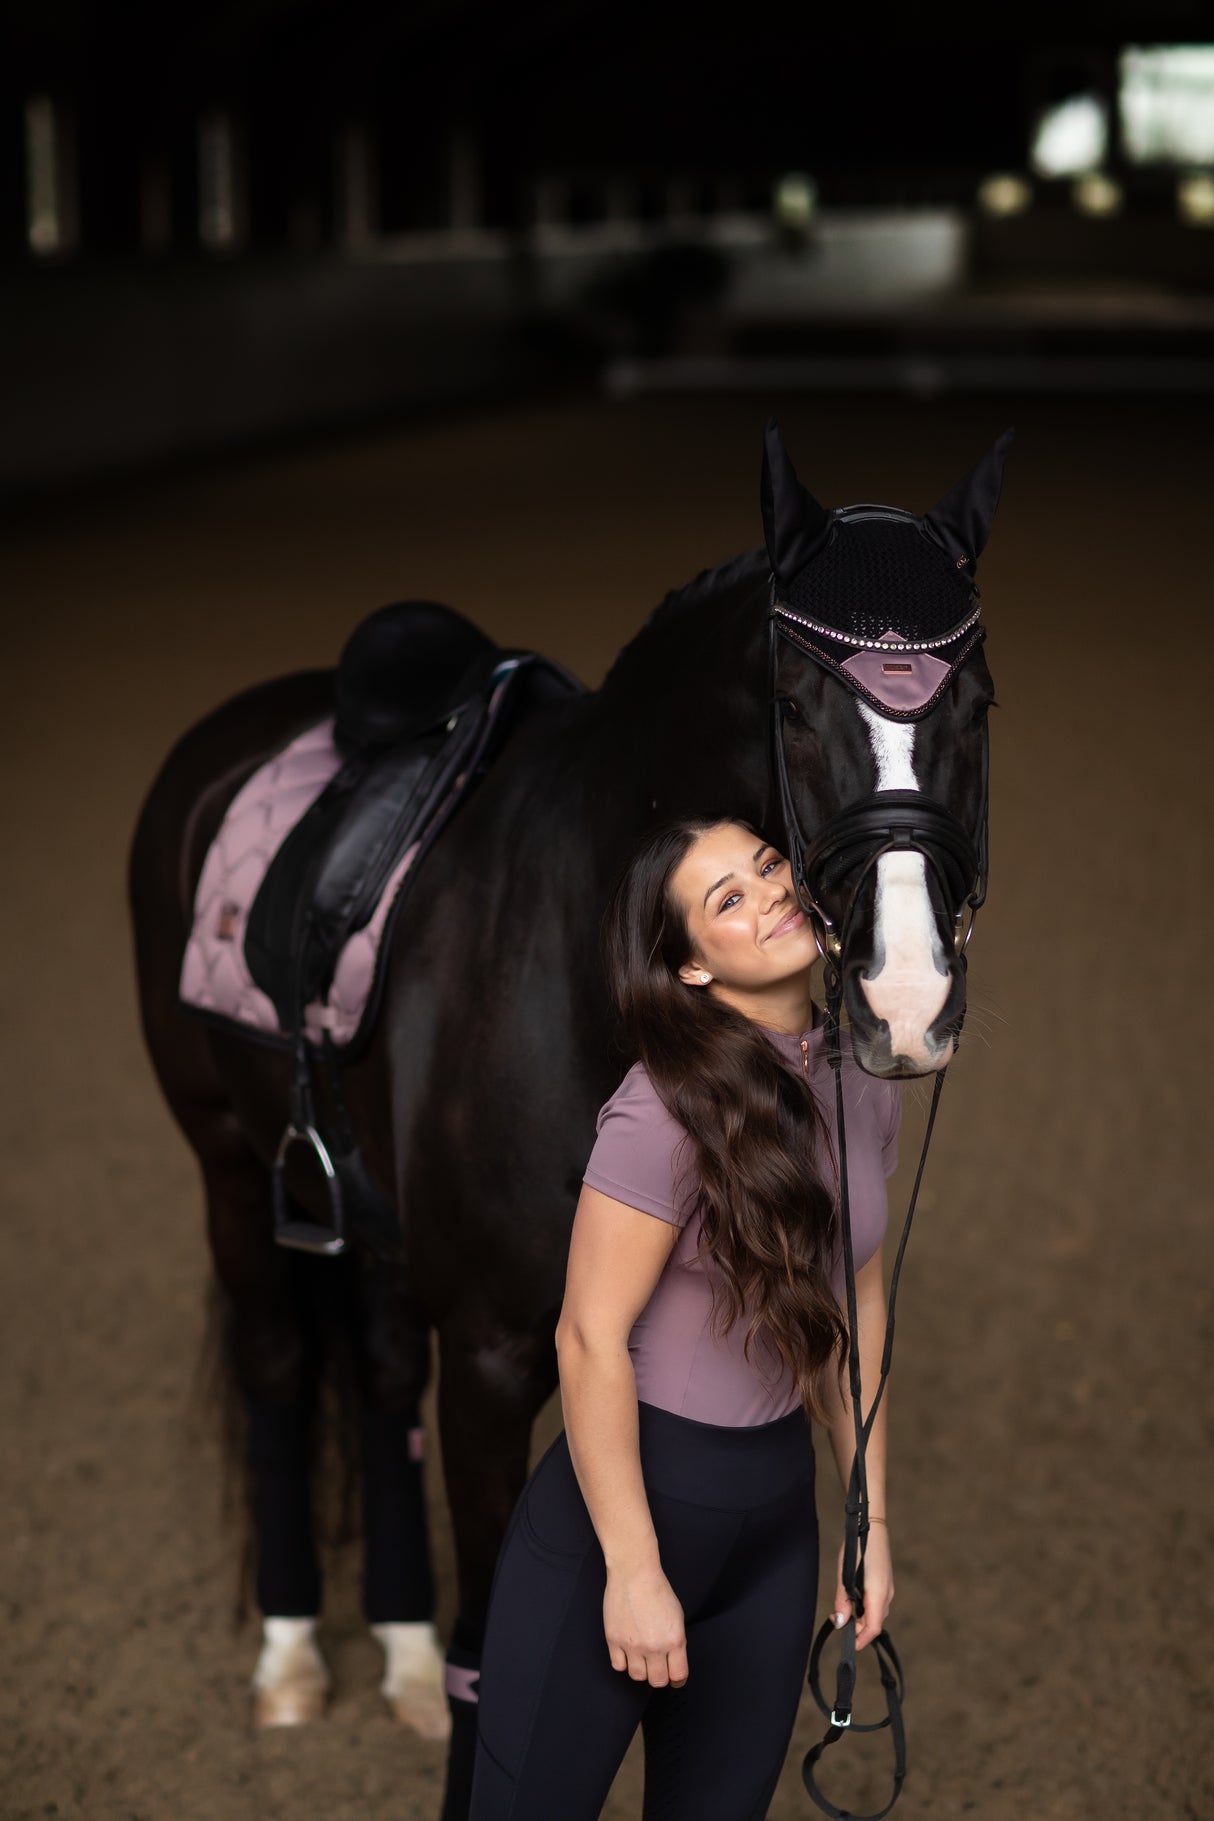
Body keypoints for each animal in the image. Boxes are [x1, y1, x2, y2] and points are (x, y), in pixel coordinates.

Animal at [128, 418, 1011, 1813]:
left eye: (973, 707)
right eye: (795, 706)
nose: (908, 994)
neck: (576, 968)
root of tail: (232, 728)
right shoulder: (496, 1354)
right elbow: (494, 1658)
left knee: (378, 1371)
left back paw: (387, 1648)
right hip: (226, 1166)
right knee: (276, 1363)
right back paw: (289, 1661)